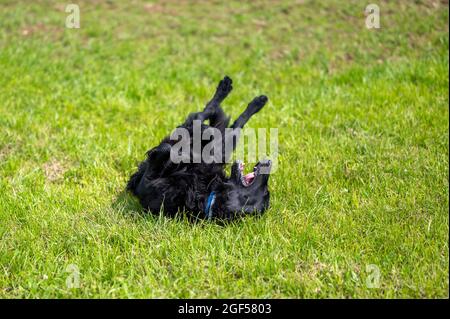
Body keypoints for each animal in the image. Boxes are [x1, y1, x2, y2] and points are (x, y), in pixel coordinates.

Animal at [126, 76, 270, 221]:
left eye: (265, 191)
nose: (269, 162)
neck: (205, 196)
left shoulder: (149, 181)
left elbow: (167, 150)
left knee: (203, 115)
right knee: (214, 117)